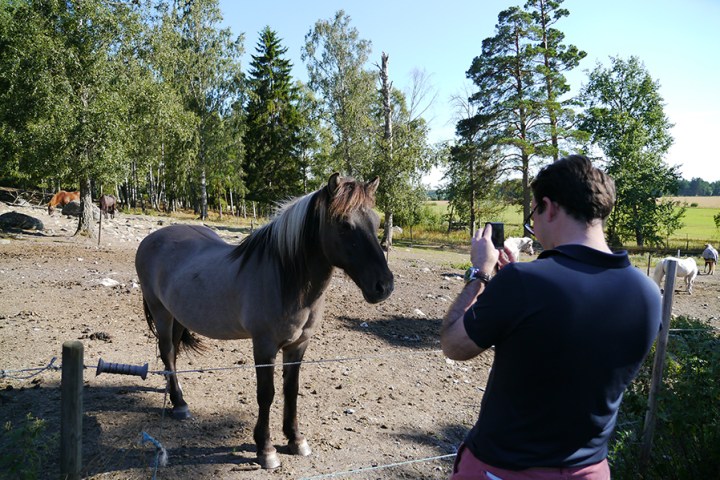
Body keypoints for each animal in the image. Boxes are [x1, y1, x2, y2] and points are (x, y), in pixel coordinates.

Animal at [135, 173, 394, 469]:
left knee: (173, 355)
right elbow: (266, 394)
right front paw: (266, 449)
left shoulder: (298, 345)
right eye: (344, 225)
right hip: (161, 312)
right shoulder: (264, 346)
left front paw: (295, 440)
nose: (384, 286)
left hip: (178, 315)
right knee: (167, 351)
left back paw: (175, 396)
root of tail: (151, 239)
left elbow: (291, 390)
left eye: (376, 222)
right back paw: (179, 404)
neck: (285, 278)